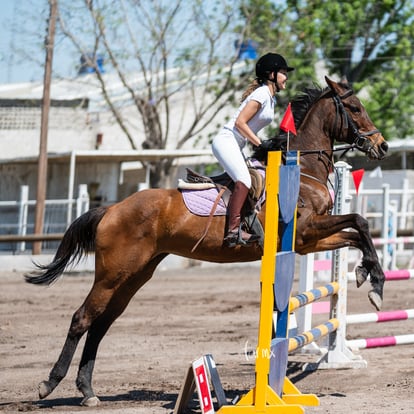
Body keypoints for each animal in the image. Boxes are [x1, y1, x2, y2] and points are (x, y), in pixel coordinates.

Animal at [25, 76, 388, 406]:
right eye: (355, 109)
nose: (382, 146)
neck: (303, 170)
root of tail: (111, 209)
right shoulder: (306, 232)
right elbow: (360, 222)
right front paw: (373, 283)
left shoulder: (309, 241)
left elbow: (357, 231)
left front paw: (369, 279)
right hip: (112, 275)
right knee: (82, 318)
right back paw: (49, 384)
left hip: (134, 276)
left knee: (101, 324)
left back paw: (87, 391)